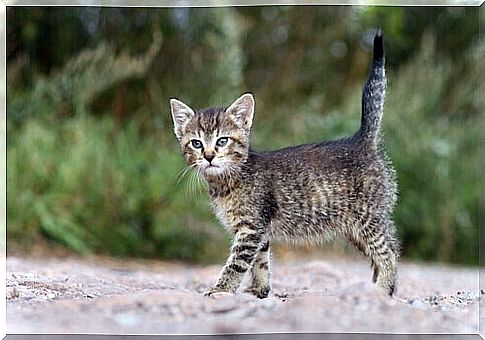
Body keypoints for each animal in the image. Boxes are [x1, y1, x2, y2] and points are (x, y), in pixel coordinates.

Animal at [170, 31, 398, 298]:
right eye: (196, 143)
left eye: (222, 141)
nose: (208, 156)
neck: (227, 181)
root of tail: (361, 139)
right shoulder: (259, 231)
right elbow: (260, 261)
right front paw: (259, 290)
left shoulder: (250, 228)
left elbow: (236, 263)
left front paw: (220, 289)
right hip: (355, 228)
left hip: (368, 217)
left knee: (390, 251)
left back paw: (383, 289)